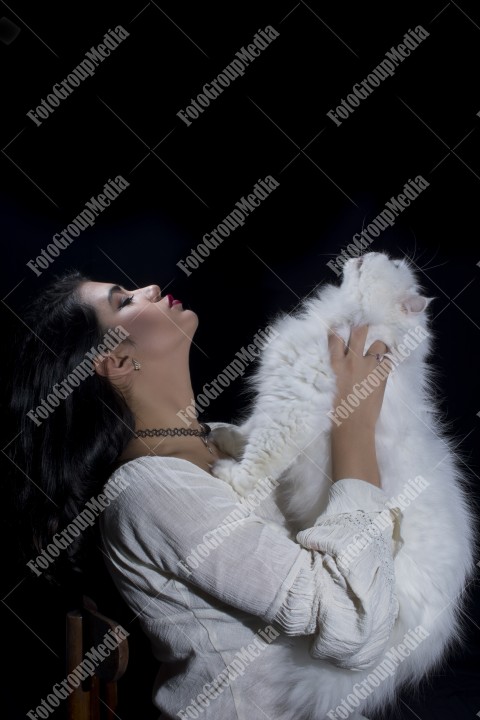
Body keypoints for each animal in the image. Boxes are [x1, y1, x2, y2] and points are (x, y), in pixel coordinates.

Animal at [210, 253, 476, 720]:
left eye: (389, 265)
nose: (369, 253)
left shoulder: (291, 411)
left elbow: (259, 459)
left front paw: (231, 476)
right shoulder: (277, 400)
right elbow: (248, 431)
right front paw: (225, 437)